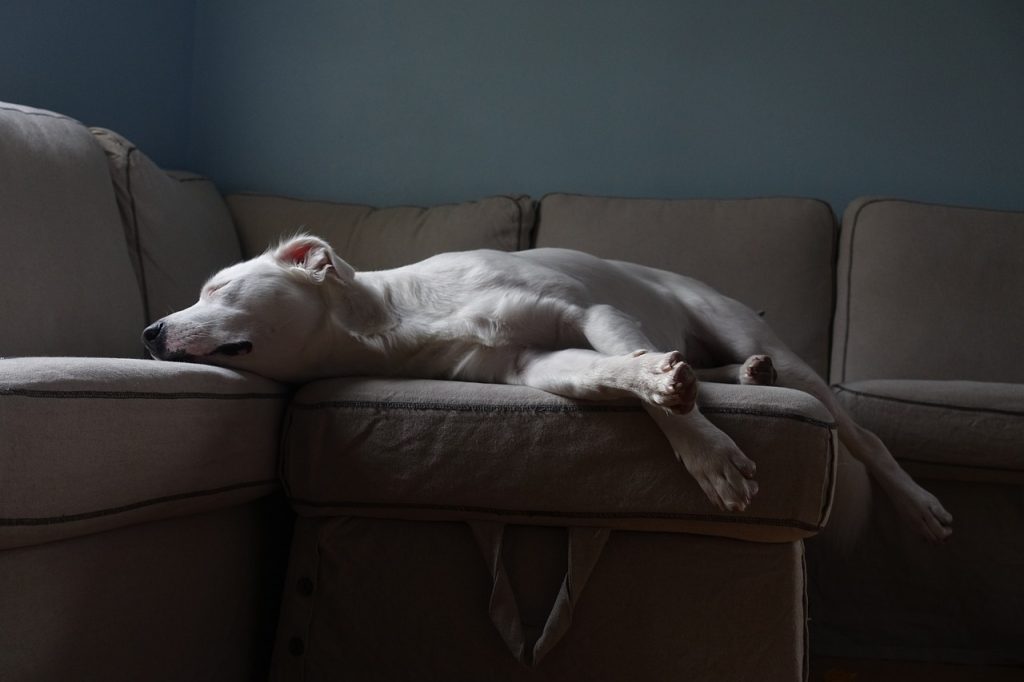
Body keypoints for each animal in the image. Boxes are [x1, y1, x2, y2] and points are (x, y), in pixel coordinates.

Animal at [142, 236, 950, 540]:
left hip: (754, 335)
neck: (393, 319)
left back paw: (918, 503)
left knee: (862, 436)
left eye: (219, 287)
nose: (149, 332)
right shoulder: (535, 365)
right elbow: (624, 376)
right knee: (709, 363)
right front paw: (680, 408)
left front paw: (709, 452)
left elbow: (650, 385)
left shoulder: (587, 314)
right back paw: (741, 377)